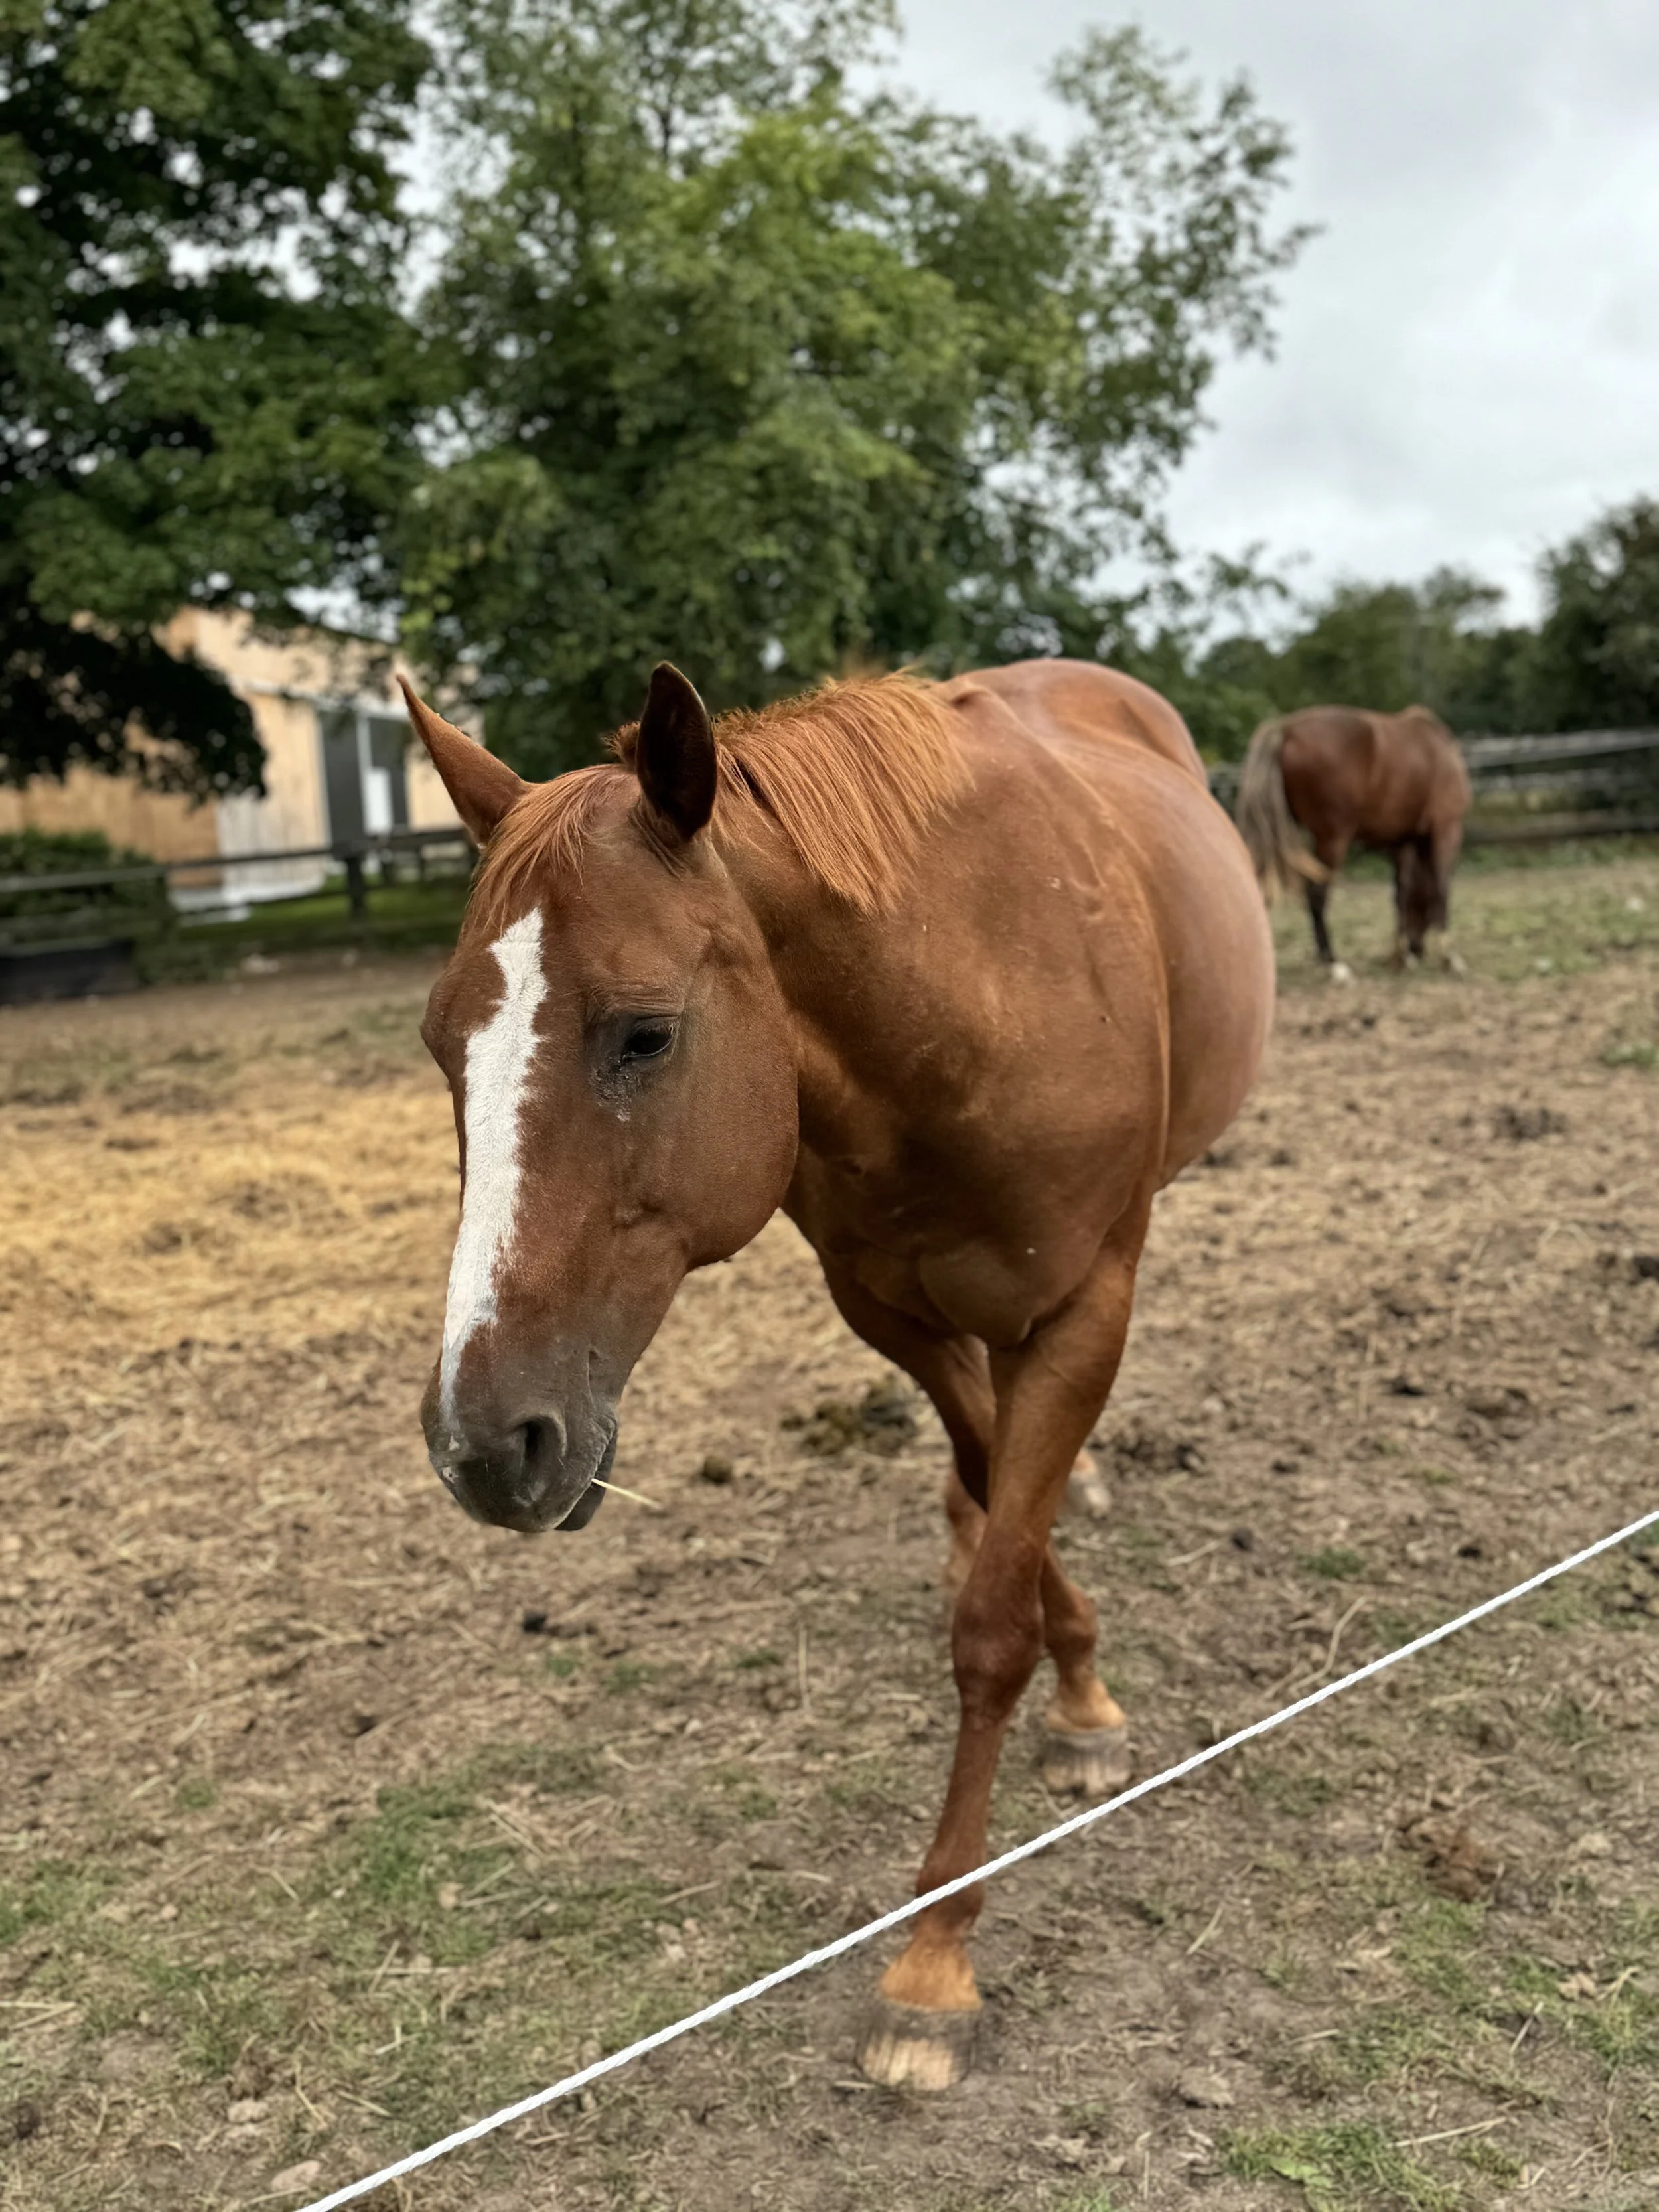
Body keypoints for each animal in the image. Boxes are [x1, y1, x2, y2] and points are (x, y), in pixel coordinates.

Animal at [400, 656, 1274, 2090]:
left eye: (645, 1034)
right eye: (439, 1042)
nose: (485, 1443)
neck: (966, 1002)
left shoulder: (1083, 1309)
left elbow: (991, 1618)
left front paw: (935, 1960)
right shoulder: (886, 1312)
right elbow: (996, 1503)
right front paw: (1066, 1654)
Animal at [1236, 705, 1472, 976]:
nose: (1417, 949)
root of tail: (1286, 729)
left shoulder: (1403, 841)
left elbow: (1401, 892)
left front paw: (1401, 955)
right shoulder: (1446, 828)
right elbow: (1441, 889)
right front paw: (1449, 957)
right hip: (1332, 839)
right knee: (1317, 893)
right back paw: (1333, 963)